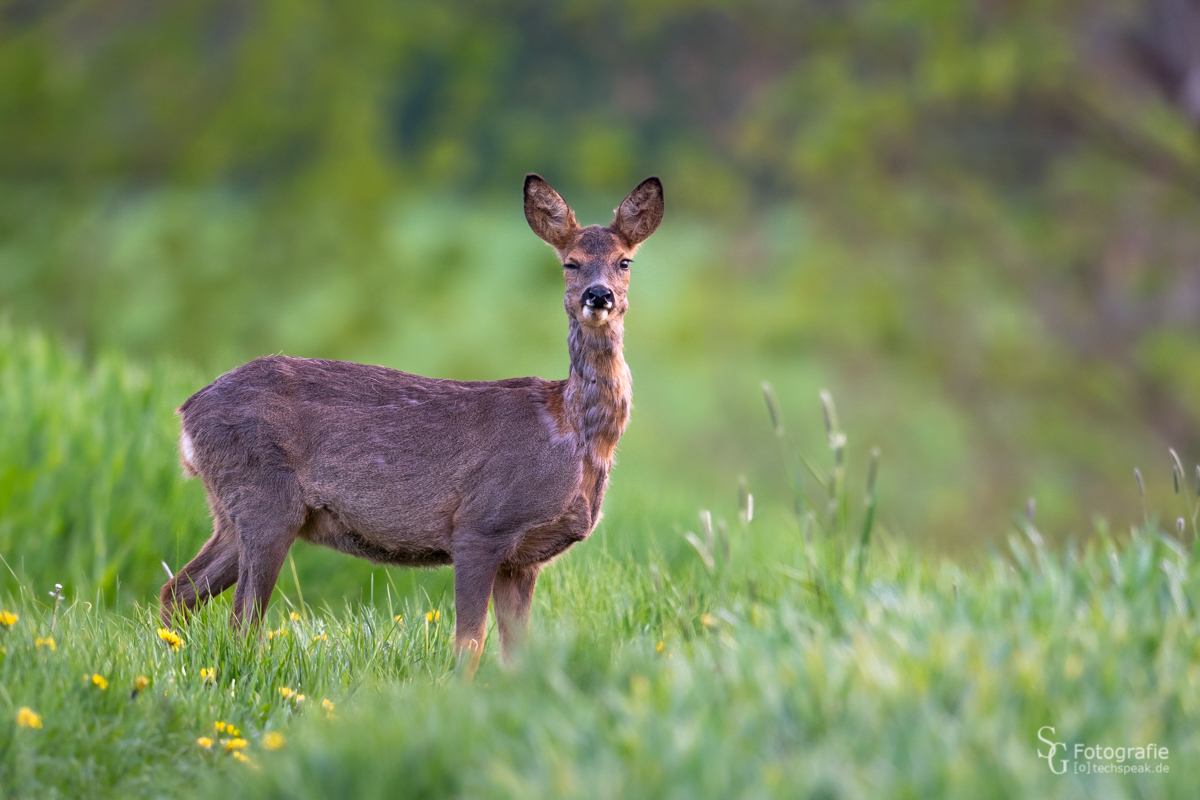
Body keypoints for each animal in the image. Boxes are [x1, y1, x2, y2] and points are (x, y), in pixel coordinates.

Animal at [162, 173, 667, 676]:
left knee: (179, 591)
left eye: (625, 262)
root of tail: (187, 414)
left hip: (232, 511)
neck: (572, 435)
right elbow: (469, 644)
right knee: (241, 618)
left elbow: (517, 653)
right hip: (264, 499)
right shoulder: (481, 525)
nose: (598, 296)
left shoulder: (524, 559)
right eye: (570, 263)